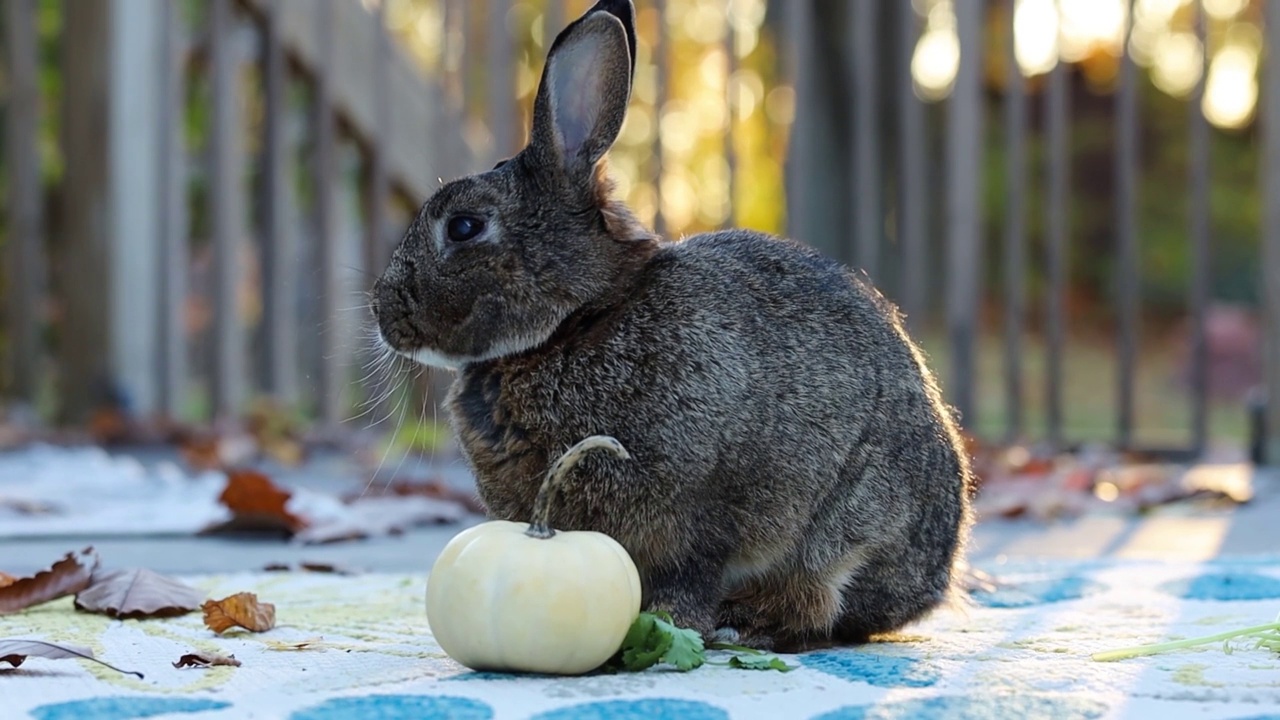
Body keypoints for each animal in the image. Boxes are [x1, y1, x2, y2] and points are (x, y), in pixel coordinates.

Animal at [373, 0, 972, 650]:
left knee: (819, 603)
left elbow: (692, 570)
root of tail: (935, 579)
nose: (382, 313)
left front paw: (670, 623)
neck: (579, 321)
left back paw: (749, 622)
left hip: (851, 522)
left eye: (463, 227)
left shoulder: (702, 504)